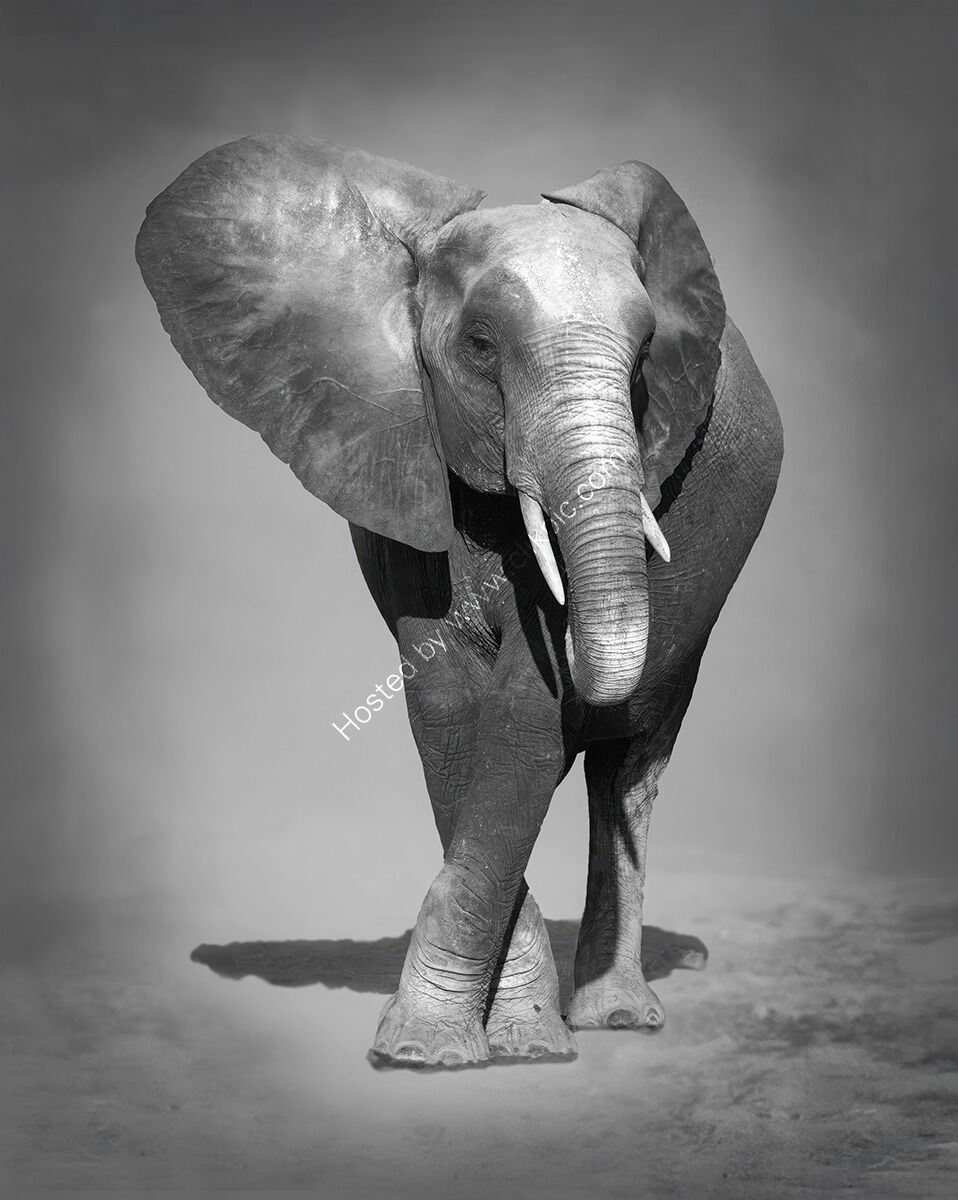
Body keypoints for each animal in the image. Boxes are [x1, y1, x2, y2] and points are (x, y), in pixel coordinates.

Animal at [136, 135, 783, 1069]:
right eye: (480, 345)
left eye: (644, 360)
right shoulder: (403, 458)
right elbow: (446, 703)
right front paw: (461, 1048)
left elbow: (525, 713)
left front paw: (472, 1046)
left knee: (629, 765)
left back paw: (618, 1018)